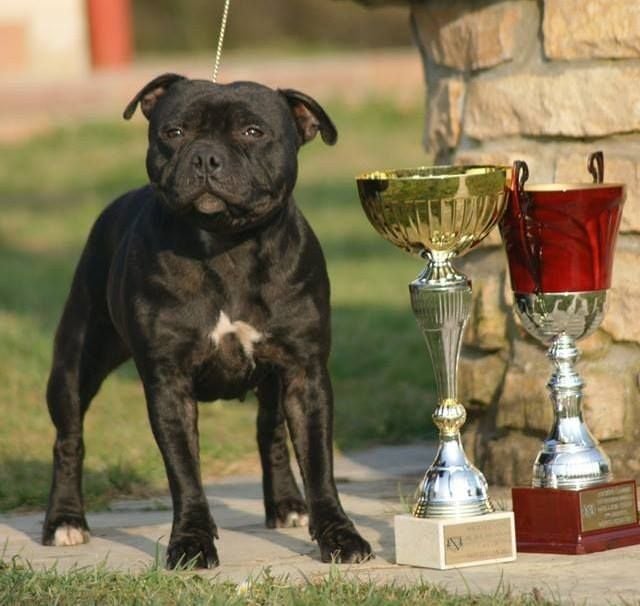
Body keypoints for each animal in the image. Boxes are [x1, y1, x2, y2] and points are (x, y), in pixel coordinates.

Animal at [42, 75, 372, 568]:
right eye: (174, 132)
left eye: (253, 132)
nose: (204, 157)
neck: (227, 245)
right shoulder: (169, 383)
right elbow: (184, 473)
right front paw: (191, 542)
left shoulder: (305, 373)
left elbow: (319, 465)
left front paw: (339, 536)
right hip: (76, 364)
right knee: (69, 438)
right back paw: (64, 521)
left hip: (273, 381)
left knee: (270, 433)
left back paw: (286, 505)